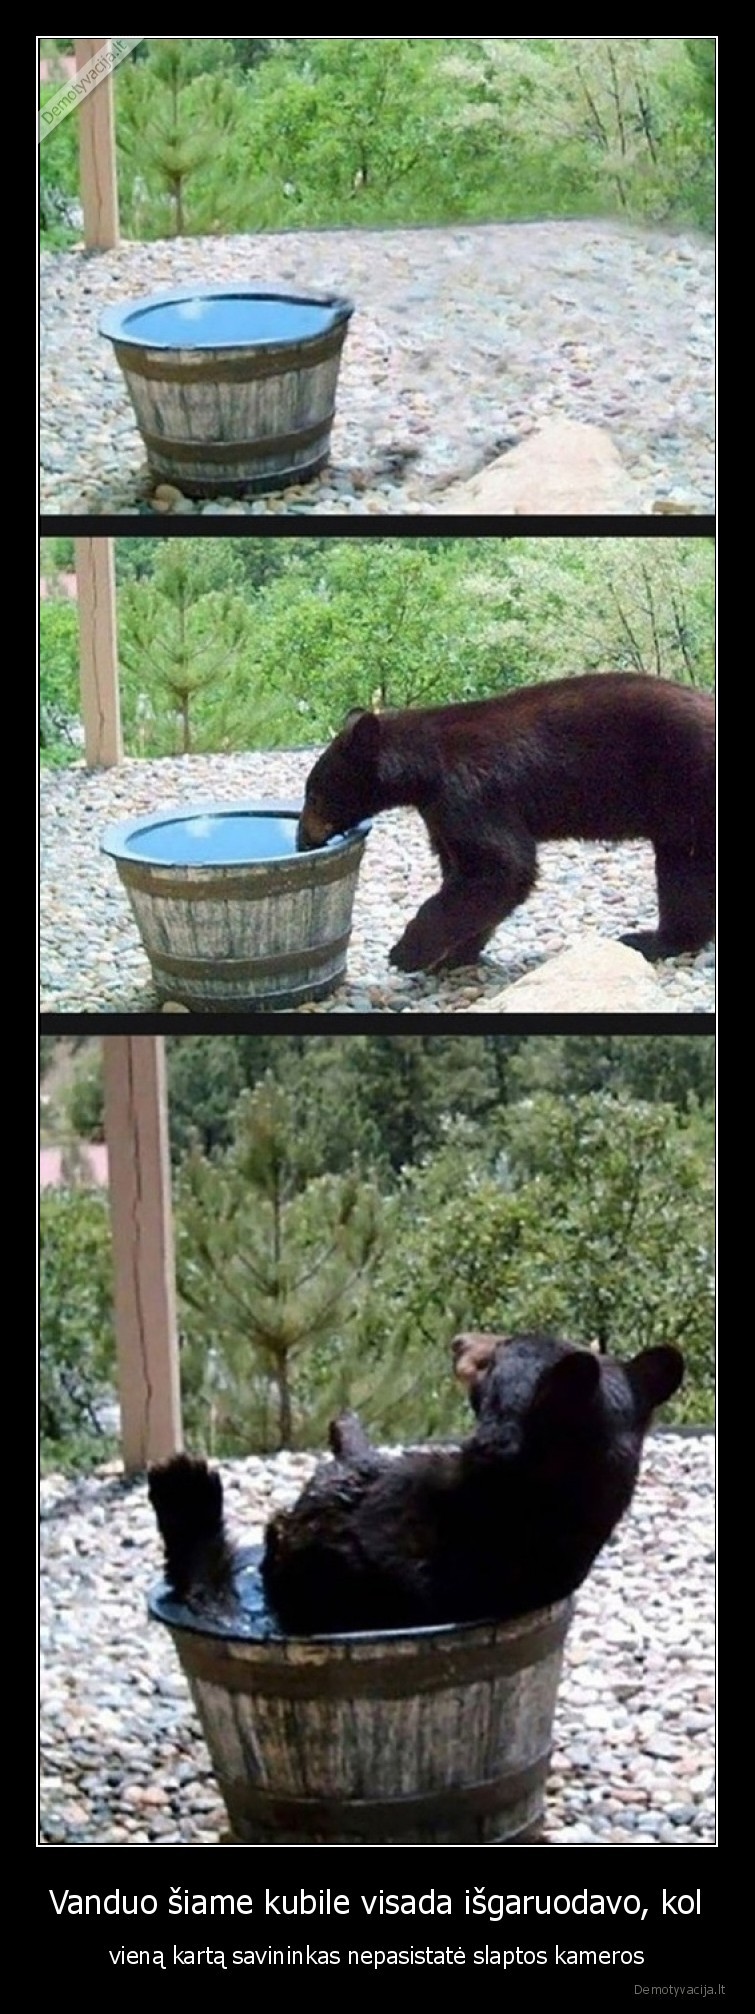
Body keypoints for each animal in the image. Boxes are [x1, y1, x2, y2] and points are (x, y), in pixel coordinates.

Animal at [293, 676, 716, 974]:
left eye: (314, 795)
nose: (302, 840)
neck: (423, 768)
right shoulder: (440, 812)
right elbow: (467, 874)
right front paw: (455, 953)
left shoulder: (470, 792)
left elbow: (501, 866)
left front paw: (407, 952)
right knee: (682, 871)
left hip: (689, 787)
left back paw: (650, 940)